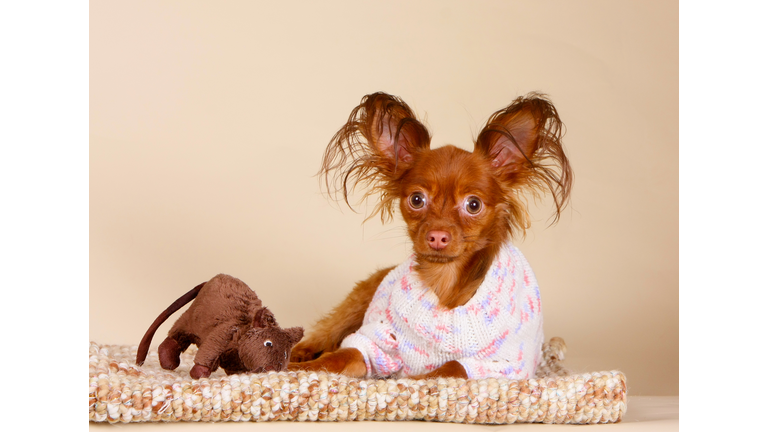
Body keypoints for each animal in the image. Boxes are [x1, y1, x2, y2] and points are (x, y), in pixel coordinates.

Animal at [288, 90, 568, 378]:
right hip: (357, 303)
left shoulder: (503, 365)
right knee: (325, 333)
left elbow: (450, 367)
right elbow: (339, 356)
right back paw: (297, 353)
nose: (437, 236)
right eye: (417, 199)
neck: (444, 280)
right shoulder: (375, 343)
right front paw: (296, 368)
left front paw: (414, 379)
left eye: (474, 204)